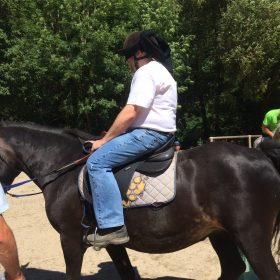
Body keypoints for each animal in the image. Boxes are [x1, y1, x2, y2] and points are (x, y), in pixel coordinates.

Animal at [0, 122, 280, 280]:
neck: (64, 169)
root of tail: (262, 156)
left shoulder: (70, 239)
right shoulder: (110, 241)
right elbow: (125, 272)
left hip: (251, 238)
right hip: (219, 234)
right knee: (232, 268)